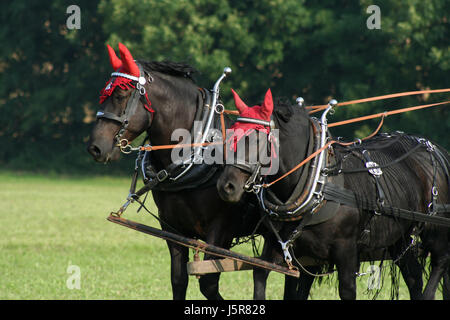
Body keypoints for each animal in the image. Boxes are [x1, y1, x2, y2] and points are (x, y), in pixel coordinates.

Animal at [216, 95, 448, 300]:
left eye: (257, 137)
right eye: (231, 133)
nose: (226, 186)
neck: (318, 182)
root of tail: (433, 148)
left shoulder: (346, 250)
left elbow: (347, 291)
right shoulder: (283, 246)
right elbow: (261, 275)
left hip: (435, 228)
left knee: (440, 260)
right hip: (400, 236)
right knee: (414, 276)